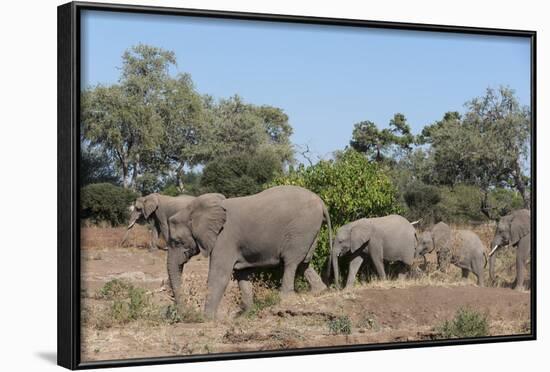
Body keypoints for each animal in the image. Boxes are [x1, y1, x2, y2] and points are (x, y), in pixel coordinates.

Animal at [167, 185, 332, 318]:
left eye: (176, 241)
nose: (185, 313)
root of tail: (322, 202)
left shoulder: (224, 238)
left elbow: (219, 275)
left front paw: (206, 319)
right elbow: (242, 275)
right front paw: (245, 314)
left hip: (301, 229)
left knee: (291, 262)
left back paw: (284, 298)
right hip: (310, 230)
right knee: (304, 262)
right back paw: (319, 292)